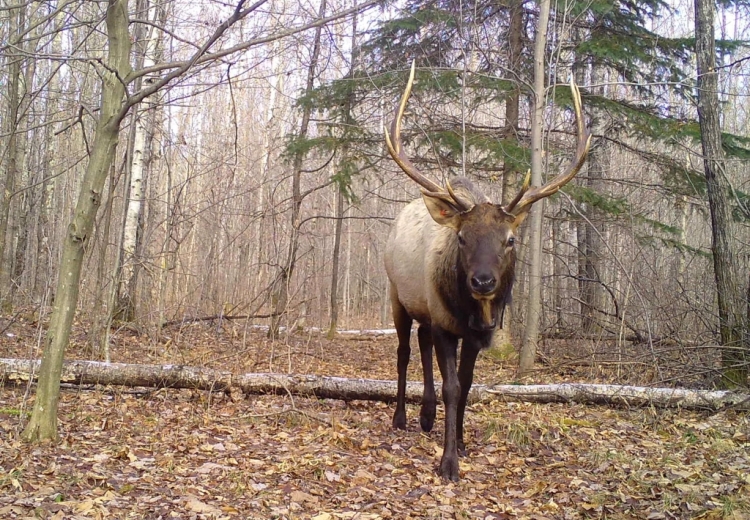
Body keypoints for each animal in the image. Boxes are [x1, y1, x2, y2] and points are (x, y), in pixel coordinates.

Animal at [388, 63, 592, 482]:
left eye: (510, 239)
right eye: (462, 237)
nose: (483, 281)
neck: (472, 312)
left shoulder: (474, 333)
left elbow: (466, 386)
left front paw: (462, 444)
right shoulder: (446, 323)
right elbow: (451, 387)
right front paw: (448, 462)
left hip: (423, 309)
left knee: (421, 342)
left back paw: (426, 416)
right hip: (394, 294)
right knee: (403, 351)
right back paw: (401, 417)